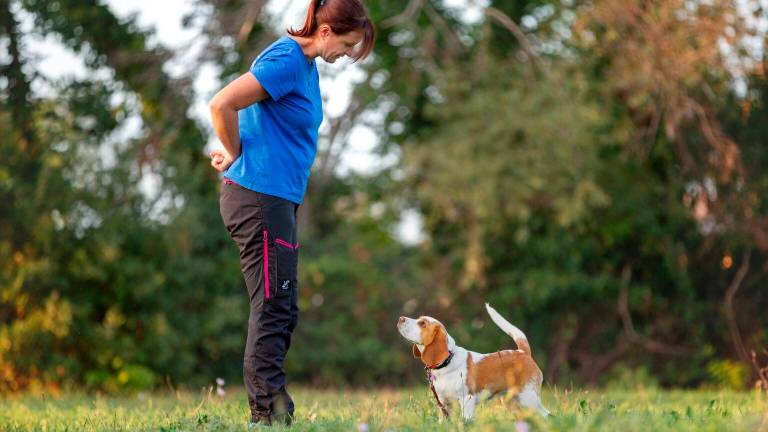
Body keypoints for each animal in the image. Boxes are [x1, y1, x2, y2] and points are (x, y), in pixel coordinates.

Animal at [400, 302, 548, 420]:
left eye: (422, 323)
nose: (401, 318)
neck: (447, 363)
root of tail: (523, 352)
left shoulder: (467, 400)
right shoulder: (444, 404)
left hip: (529, 398)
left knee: (546, 414)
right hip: (513, 402)